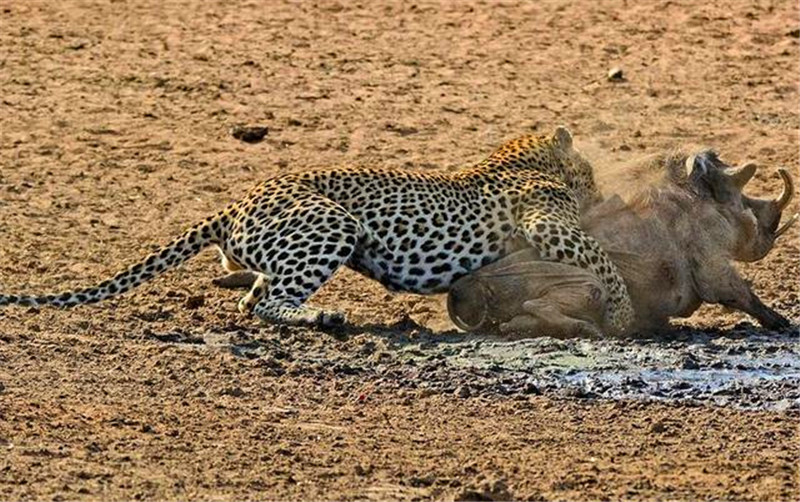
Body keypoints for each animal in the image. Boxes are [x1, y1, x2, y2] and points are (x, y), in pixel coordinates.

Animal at [1, 127, 636, 336]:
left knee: (254, 297)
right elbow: (601, 258)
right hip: (332, 222)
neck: (518, 156)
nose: (599, 189)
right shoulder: (547, 224)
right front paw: (625, 315)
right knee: (267, 303)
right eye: (588, 171)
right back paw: (324, 316)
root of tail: (232, 205)